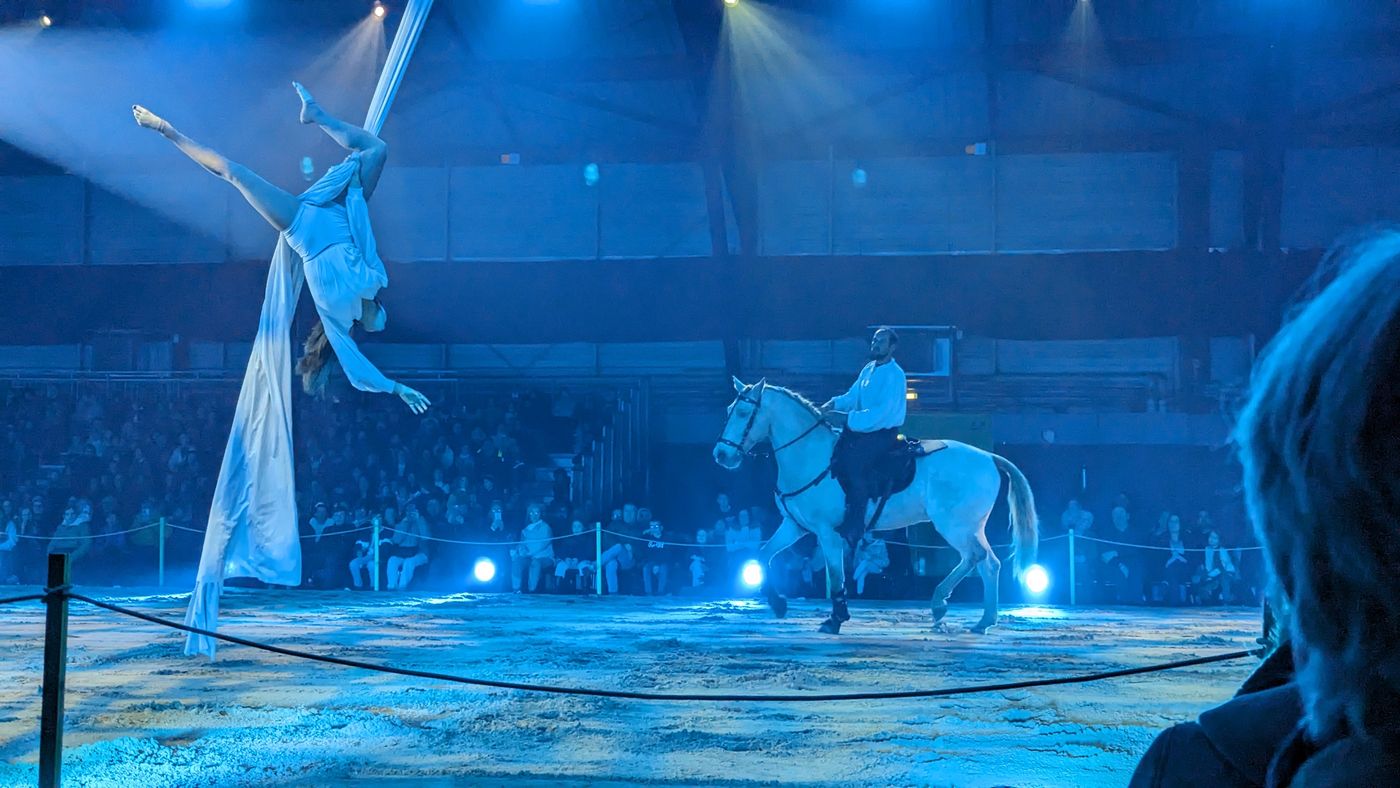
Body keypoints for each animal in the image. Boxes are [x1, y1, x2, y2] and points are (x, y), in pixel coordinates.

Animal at [716, 377, 1036, 635]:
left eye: (743, 413)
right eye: (728, 410)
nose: (721, 454)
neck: (811, 456)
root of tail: (989, 457)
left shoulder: (827, 532)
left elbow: (836, 576)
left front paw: (835, 619)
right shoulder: (794, 526)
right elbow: (763, 555)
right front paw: (778, 603)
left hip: (954, 525)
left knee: (976, 557)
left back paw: (943, 605)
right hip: (971, 526)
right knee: (988, 563)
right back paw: (982, 620)